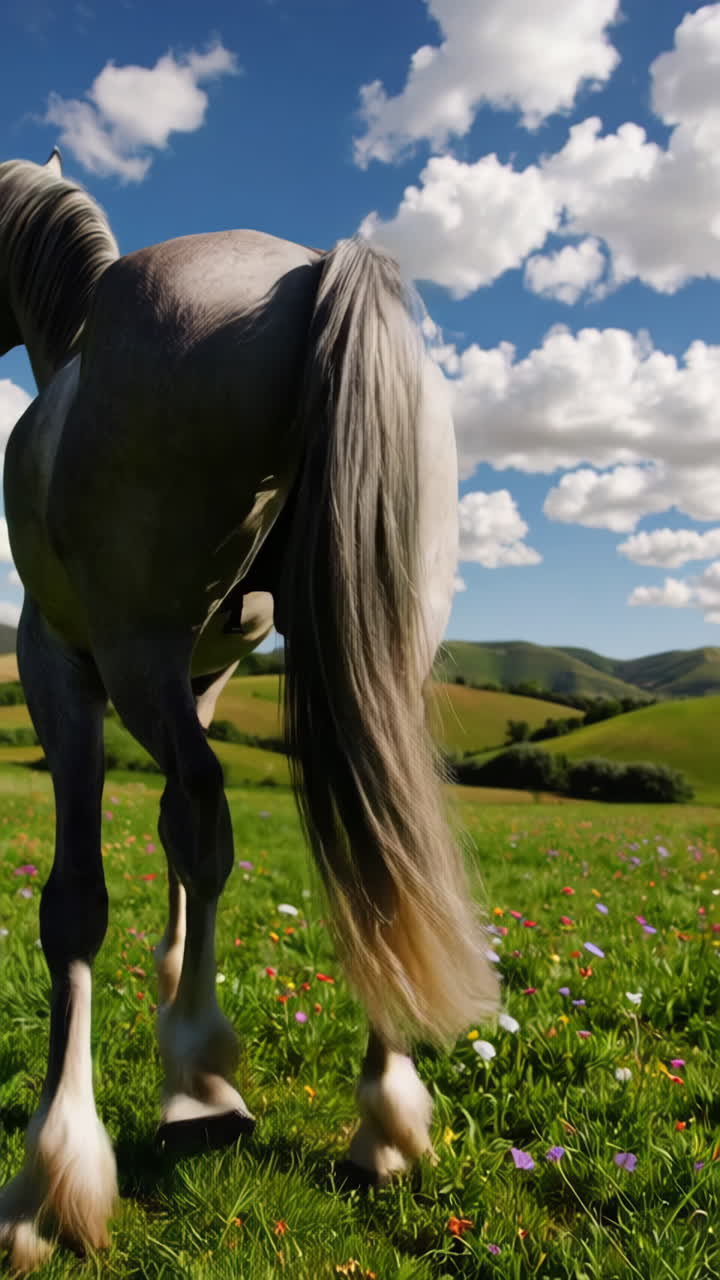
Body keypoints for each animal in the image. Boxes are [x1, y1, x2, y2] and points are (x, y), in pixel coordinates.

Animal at [0, 150, 499, 1272]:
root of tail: (313, 271)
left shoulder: (61, 665)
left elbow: (83, 897)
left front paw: (57, 1171)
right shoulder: (205, 679)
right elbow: (185, 848)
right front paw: (180, 996)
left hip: (134, 652)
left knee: (211, 811)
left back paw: (198, 1088)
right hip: (372, 654)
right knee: (377, 852)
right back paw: (381, 1121)